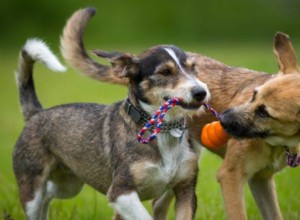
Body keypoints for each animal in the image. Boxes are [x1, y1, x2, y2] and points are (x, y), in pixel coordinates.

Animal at [12, 7, 210, 219]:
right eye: (165, 72)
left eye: (193, 68)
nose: (201, 92)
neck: (162, 131)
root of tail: (36, 113)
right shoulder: (120, 192)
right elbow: (143, 216)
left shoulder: (186, 189)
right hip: (32, 189)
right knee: (38, 200)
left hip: (69, 183)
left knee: (48, 194)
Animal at [59, 6, 298, 220]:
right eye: (253, 95)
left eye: (264, 112)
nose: (223, 119)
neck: (280, 143)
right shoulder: (231, 175)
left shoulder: (261, 180)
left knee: (156, 203)